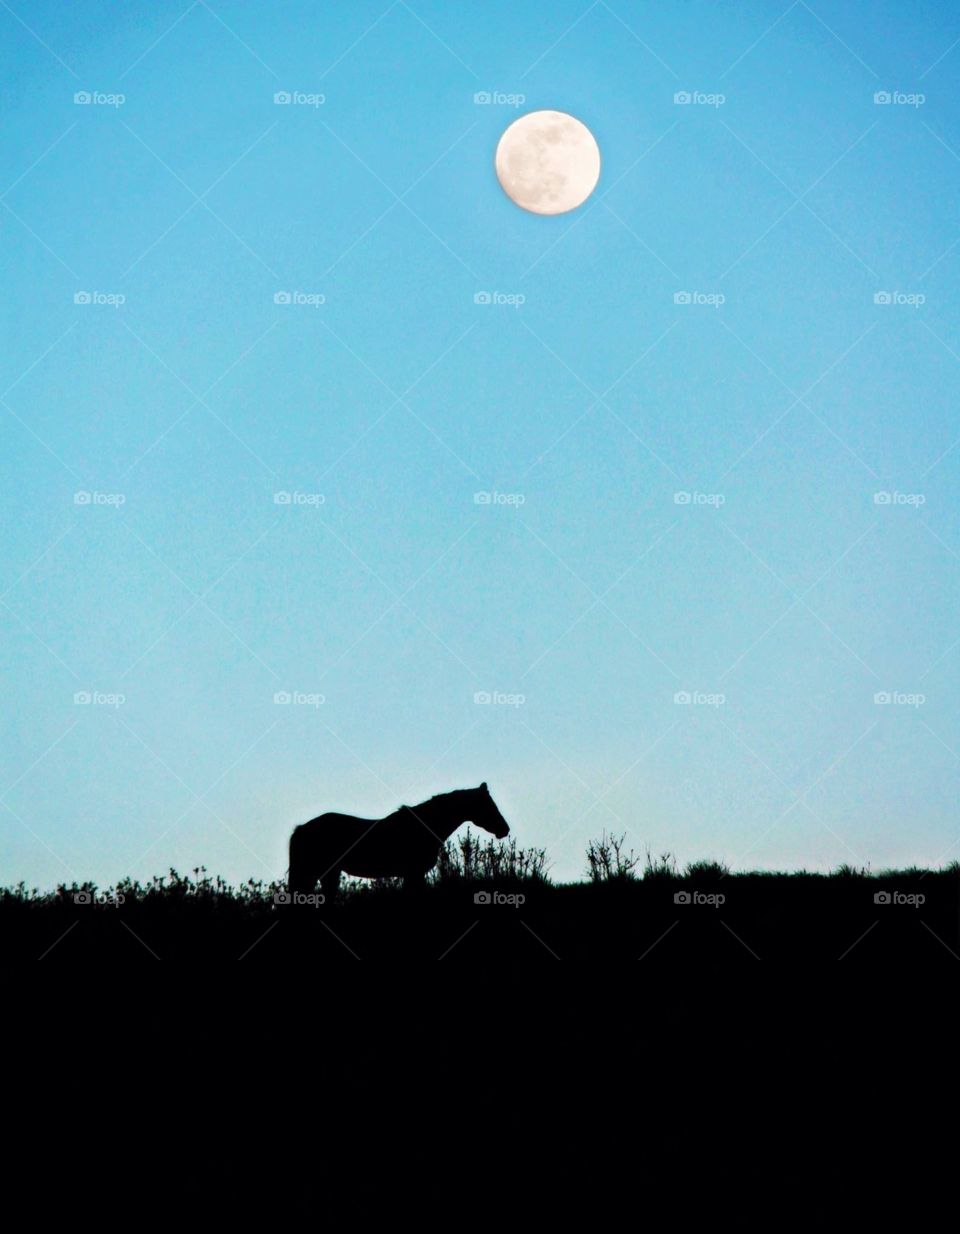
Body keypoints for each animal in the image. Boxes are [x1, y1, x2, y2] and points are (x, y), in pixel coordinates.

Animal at [288, 782, 510, 898]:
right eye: (488, 805)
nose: (504, 829)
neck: (426, 825)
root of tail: (302, 828)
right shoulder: (414, 873)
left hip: (328, 874)